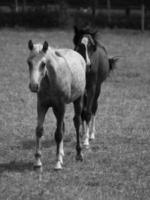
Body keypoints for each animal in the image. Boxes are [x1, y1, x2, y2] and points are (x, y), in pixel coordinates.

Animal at [26, 39, 86, 170]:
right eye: (28, 62)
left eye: (43, 64)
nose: (34, 86)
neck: (50, 81)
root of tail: (79, 56)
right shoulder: (42, 105)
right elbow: (39, 130)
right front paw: (37, 162)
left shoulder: (62, 106)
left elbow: (58, 134)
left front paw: (57, 163)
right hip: (55, 108)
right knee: (62, 125)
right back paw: (62, 154)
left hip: (77, 100)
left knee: (77, 122)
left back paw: (79, 154)